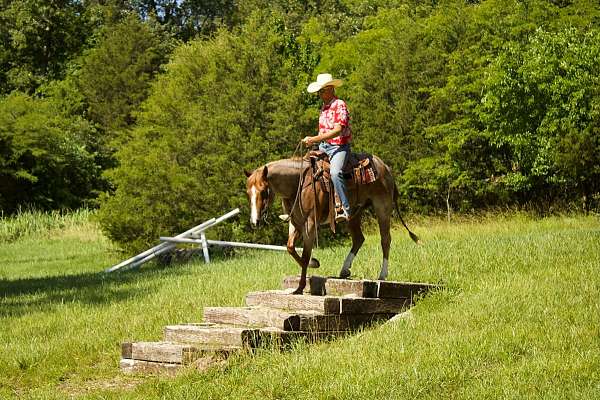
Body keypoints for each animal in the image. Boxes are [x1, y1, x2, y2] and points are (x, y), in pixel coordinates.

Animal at [243, 153, 418, 294]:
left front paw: (300, 287)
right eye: (248, 192)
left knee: (385, 240)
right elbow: (290, 247)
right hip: (354, 214)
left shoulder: (310, 223)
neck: (298, 184)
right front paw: (314, 263)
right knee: (359, 239)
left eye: (264, 191)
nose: (254, 221)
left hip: (382, 208)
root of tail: (386, 168)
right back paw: (345, 270)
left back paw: (382, 275)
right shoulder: (295, 222)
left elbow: (305, 255)